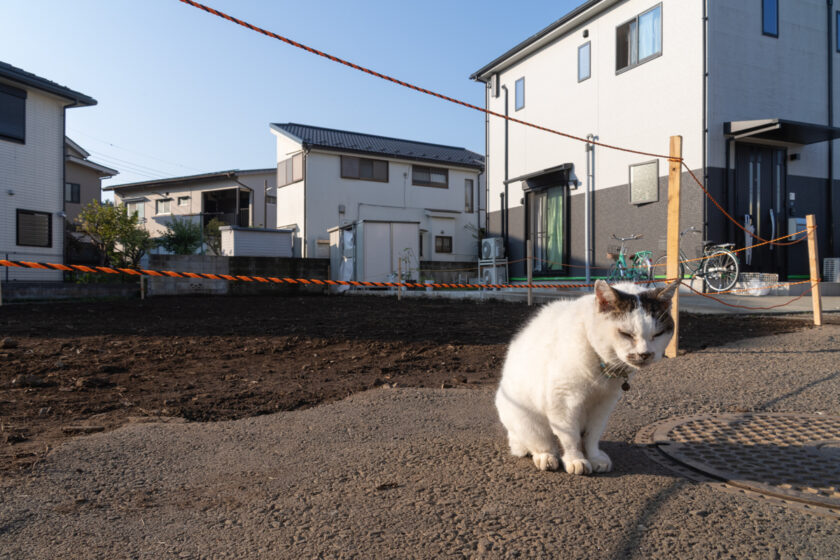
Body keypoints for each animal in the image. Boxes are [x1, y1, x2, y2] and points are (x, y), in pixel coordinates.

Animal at [496, 278, 680, 472]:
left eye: (658, 334)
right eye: (626, 334)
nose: (645, 354)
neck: (602, 371)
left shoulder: (604, 403)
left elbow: (592, 435)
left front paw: (594, 457)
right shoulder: (563, 400)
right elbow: (569, 437)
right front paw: (575, 459)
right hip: (527, 418)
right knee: (543, 442)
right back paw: (546, 456)